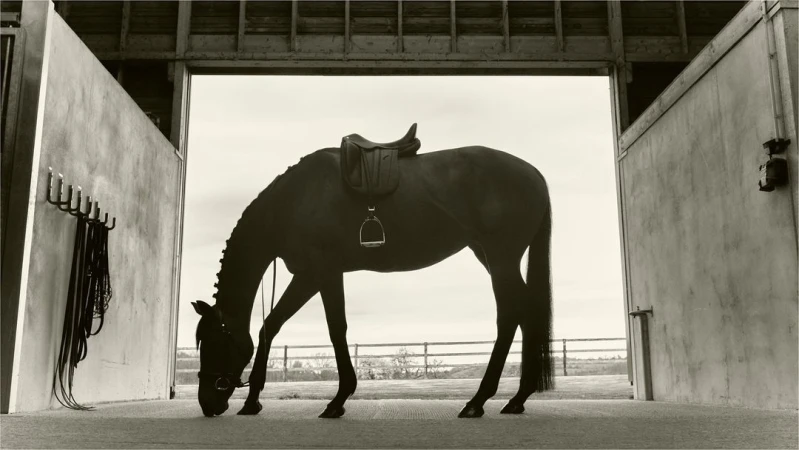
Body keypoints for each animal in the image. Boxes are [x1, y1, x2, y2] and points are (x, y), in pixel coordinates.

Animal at [192, 128, 553, 419]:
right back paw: (517, 398)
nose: (207, 403)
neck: (293, 202)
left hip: (501, 259)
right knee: (525, 312)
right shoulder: (315, 275)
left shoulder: (318, 273)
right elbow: (277, 326)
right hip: (491, 257)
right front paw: (253, 400)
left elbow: (329, 329)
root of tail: (534, 173)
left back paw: (478, 401)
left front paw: (337, 400)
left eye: (213, 342)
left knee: (510, 314)